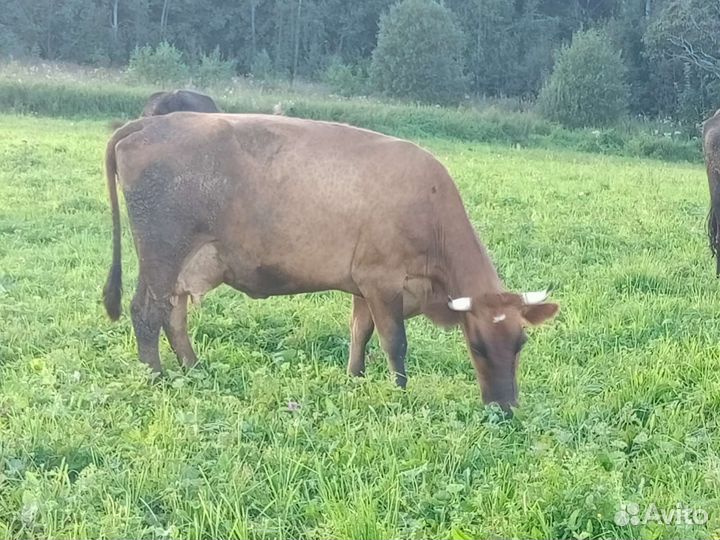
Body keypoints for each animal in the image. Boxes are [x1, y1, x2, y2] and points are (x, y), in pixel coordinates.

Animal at [102, 113, 559, 412]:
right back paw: (156, 377)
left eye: (521, 343)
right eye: (476, 345)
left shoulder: (363, 285)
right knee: (146, 312)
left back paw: (194, 368)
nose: (505, 408)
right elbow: (394, 342)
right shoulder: (383, 280)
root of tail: (148, 123)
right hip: (162, 252)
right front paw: (399, 392)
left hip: (183, 263)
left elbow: (360, 333)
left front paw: (355, 378)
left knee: (173, 315)